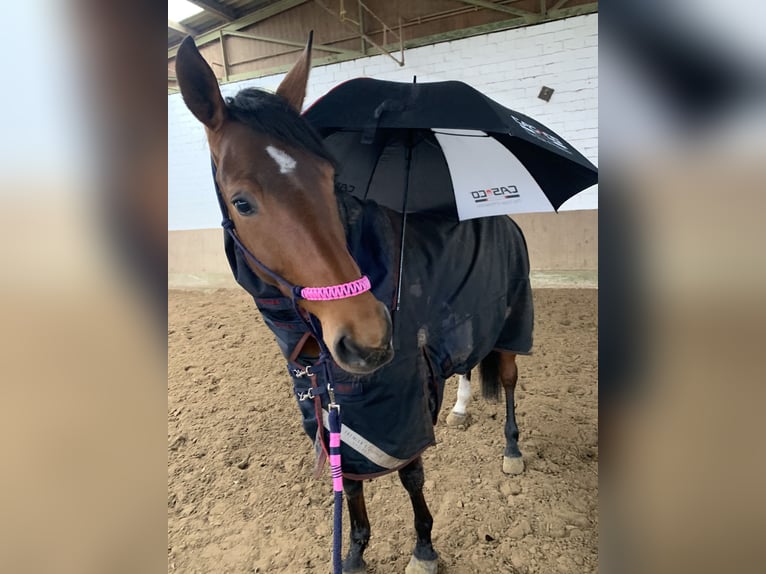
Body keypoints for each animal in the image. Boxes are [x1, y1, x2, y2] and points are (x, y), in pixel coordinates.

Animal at [175, 34, 533, 574]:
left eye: (329, 179)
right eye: (242, 202)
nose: (368, 339)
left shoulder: (401, 403)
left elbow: (409, 474)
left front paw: (423, 548)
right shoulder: (331, 404)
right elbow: (351, 481)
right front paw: (357, 550)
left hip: (512, 324)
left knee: (508, 380)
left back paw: (511, 449)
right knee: (468, 365)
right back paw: (461, 409)